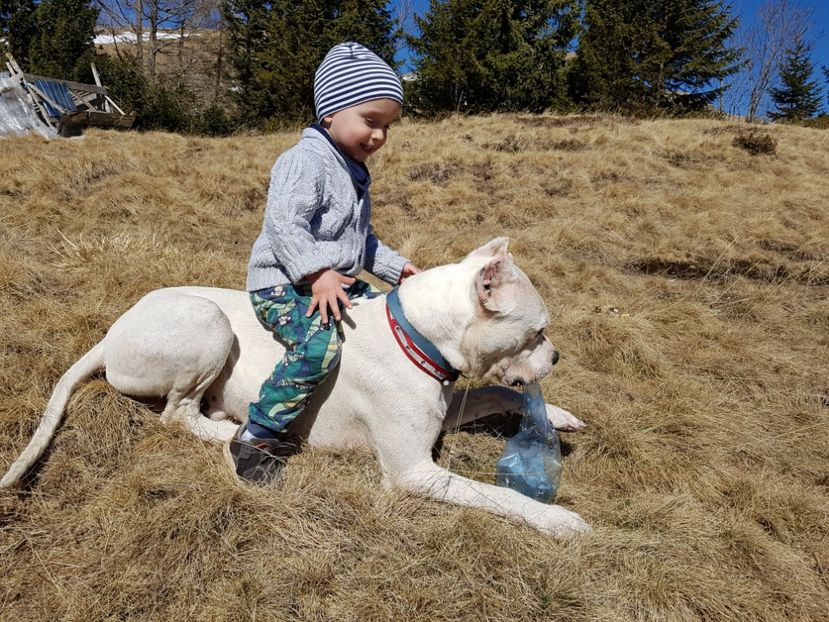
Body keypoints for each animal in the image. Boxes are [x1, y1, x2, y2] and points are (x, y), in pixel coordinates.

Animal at [1, 238, 588, 536]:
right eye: (539, 331)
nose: (557, 356)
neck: (416, 332)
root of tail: (110, 332)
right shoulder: (413, 471)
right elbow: (497, 495)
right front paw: (559, 520)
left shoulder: (444, 409)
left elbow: (499, 393)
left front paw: (556, 416)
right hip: (210, 322)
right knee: (176, 415)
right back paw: (246, 437)